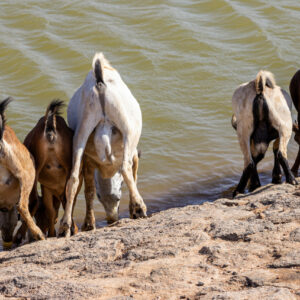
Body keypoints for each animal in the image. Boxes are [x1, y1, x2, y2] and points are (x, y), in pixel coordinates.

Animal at [59, 53, 146, 237]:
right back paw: (140, 208)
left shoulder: (88, 161)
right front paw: (133, 209)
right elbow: (134, 174)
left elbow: (89, 191)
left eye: (116, 198)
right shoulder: (135, 153)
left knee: (73, 178)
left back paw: (65, 226)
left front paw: (88, 224)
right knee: (125, 167)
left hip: (82, 130)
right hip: (126, 126)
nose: (112, 219)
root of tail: (99, 82)